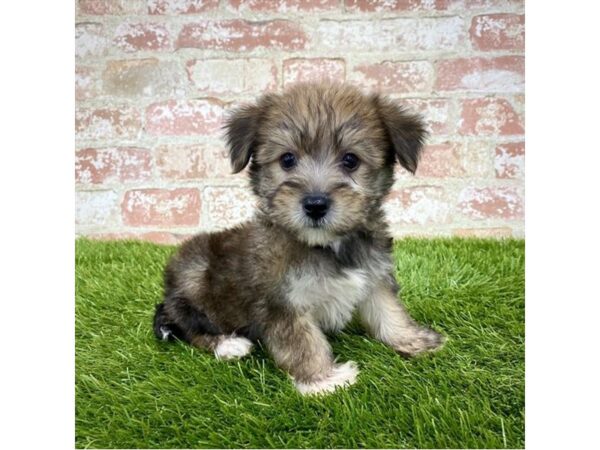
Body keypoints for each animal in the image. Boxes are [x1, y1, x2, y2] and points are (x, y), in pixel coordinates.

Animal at [154, 82, 446, 396]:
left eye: (351, 160)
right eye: (287, 159)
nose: (315, 205)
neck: (327, 245)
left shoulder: (374, 274)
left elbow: (388, 310)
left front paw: (413, 339)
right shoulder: (282, 301)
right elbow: (302, 341)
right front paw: (324, 380)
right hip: (193, 276)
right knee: (190, 327)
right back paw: (228, 344)